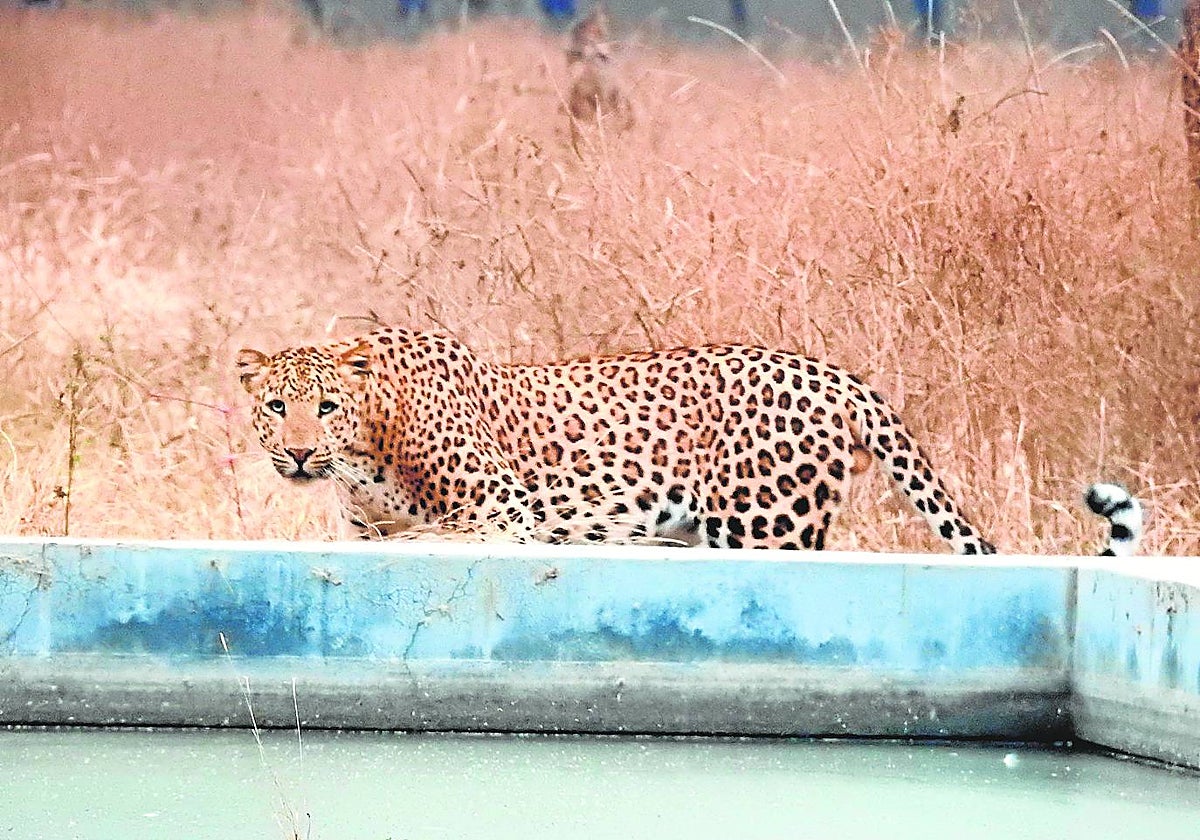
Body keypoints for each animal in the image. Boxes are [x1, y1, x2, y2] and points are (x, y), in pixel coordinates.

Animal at [237, 328, 998, 554]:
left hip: (766, 526)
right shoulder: (367, 531)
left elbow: (439, 533)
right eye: (277, 407)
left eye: (327, 407)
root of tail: (835, 374)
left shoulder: (505, 509)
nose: (299, 452)